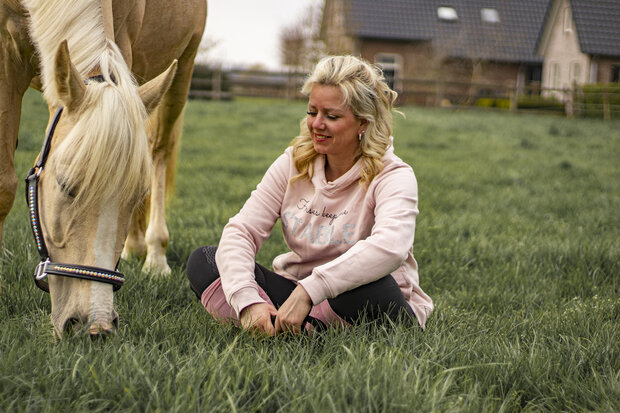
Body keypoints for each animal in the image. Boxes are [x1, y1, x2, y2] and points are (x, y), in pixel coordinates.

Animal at [0, 0, 208, 334]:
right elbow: (4, 185)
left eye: (137, 195)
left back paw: (155, 255)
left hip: (182, 70)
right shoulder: (6, 54)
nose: (92, 326)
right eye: (65, 185)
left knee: (158, 152)